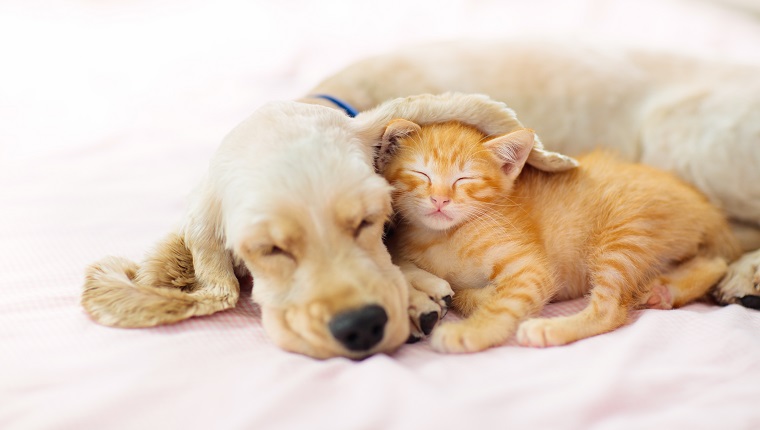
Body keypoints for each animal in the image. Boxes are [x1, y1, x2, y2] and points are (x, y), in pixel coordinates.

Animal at [380, 120, 744, 352]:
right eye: (421, 173)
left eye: (464, 179)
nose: (440, 200)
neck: (442, 237)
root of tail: (704, 206)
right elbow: (453, 289)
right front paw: (472, 297)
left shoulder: (532, 267)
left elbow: (508, 299)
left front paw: (474, 330)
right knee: (713, 262)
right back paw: (663, 289)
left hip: (624, 234)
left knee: (612, 309)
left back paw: (552, 328)